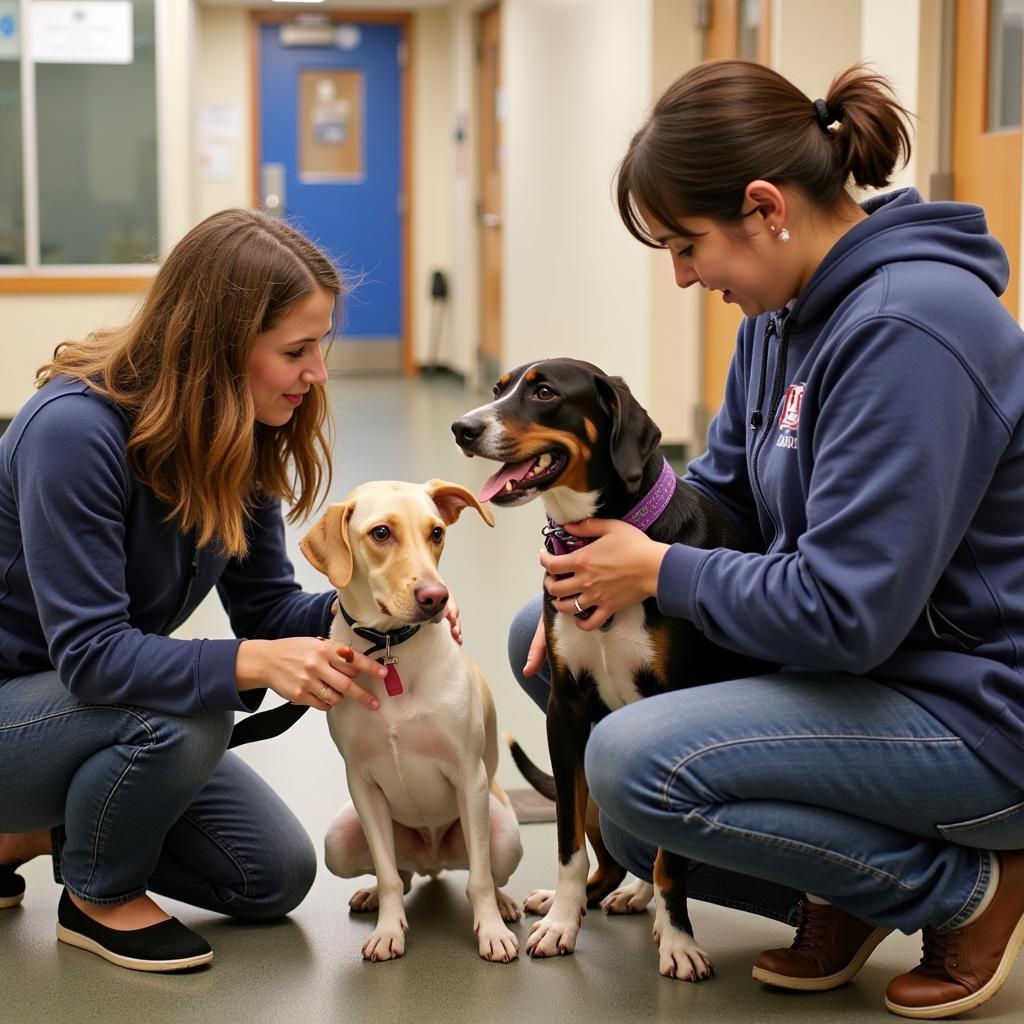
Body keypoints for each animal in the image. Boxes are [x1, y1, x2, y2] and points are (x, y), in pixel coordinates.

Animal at [294, 477, 520, 958]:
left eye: (436, 533)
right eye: (381, 533)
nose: (437, 598)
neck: (390, 647)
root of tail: (434, 860)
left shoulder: (468, 776)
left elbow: (479, 879)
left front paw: (491, 931)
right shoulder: (362, 783)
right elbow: (387, 875)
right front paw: (388, 930)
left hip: (502, 835)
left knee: (489, 872)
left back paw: (507, 904)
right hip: (339, 840)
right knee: (402, 873)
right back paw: (373, 895)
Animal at [450, 356, 770, 978]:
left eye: (544, 392)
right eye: (498, 388)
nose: (463, 429)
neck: (597, 538)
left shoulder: (670, 702)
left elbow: (673, 861)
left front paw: (679, 941)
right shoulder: (566, 710)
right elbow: (567, 843)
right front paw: (561, 921)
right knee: (613, 858)